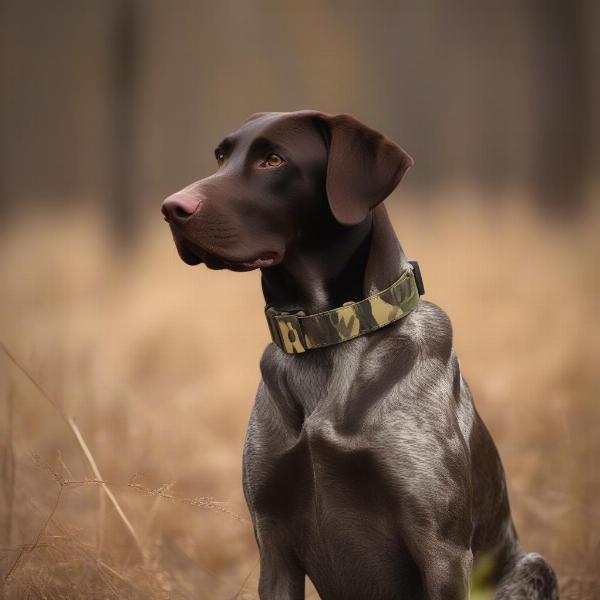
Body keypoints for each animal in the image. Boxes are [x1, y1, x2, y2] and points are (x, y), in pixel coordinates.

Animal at [161, 111, 556, 600]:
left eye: (273, 160)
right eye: (221, 156)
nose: (171, 208)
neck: (325, 335)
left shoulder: (441, 549)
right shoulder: (272, 545)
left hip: (534, 566)